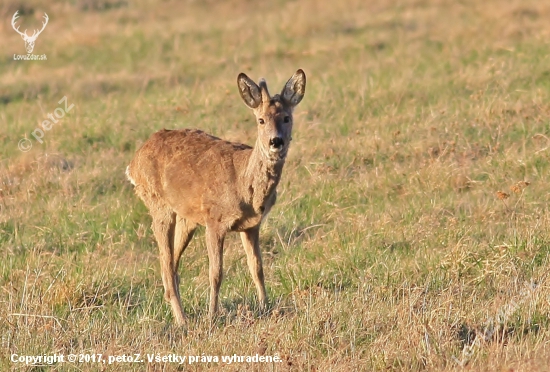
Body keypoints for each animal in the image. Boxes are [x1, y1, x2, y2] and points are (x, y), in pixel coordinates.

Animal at [126, 70, 306, 326]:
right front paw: (213, 315)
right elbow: (216, 273)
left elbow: (257, 267)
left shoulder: (251, 225)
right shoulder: (215, 221)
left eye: (287, 118)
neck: (244, 184)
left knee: (171, 264)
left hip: (187, 218)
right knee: (166, 264)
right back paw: (182, 321)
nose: (276, 141)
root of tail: (133, 163)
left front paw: (266, 306)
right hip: (157, 203)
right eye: (261, 120)